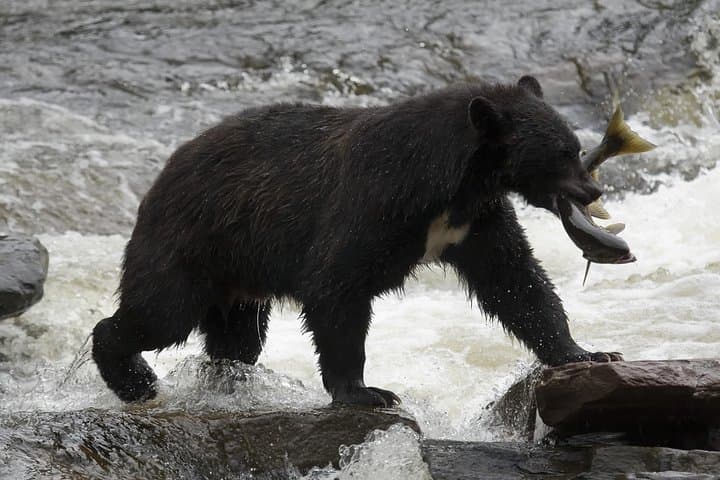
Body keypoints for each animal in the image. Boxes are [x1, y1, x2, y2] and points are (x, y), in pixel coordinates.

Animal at [92, 76, 622, 406]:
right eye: (564, 152)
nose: (593, 191)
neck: (452, 183)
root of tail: (162, 174)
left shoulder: (476, 222)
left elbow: (517, 283)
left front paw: (589, 353)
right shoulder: (375, 203)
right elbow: (337, 287)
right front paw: (366, 391)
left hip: (239, 275)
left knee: (237, 340)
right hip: (193, 243)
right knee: (161, 313)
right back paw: (134, 379)